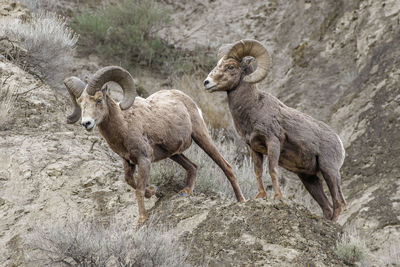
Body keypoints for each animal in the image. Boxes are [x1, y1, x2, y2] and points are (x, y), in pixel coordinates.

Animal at [64, 66, 245, 225]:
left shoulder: (144, 160)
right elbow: (131, 182)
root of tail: (186, 98)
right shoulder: (128, 162)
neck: (124, 124)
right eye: (80, 102)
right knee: (193, 167)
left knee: (226, 167)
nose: (86, 123)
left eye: (99, 100)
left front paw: (141, 219)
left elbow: (138, 189)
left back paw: (241, 200)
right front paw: (153, 191)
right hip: (174, 154)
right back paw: (186, 192)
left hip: (202, 137)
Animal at [203, 38, 346, 221]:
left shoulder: (273, 142)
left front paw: (278, 197)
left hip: (329, 170)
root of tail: (338, 141)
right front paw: (261, 196)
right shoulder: (254, 148)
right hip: (309, 179)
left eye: (230, 67)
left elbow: (272, 169)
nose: (207, 83)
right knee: (327, 207)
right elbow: (258, 171)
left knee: (339, 202)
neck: (254, 107)